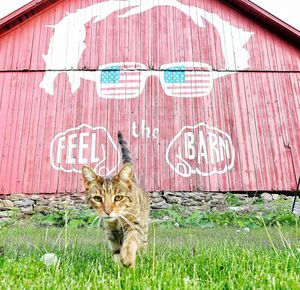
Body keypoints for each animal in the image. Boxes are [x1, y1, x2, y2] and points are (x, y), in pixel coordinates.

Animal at [81, 131, 149, 268]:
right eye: (97, 198)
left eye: (118, 197)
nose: (108, 211)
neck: (116, 221)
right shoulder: (111, 234)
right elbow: (117, 251)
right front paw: (118, 267)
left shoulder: (134, 225)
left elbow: (130, 242)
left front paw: (128, 260)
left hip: (144, 226)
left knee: (143, 243)